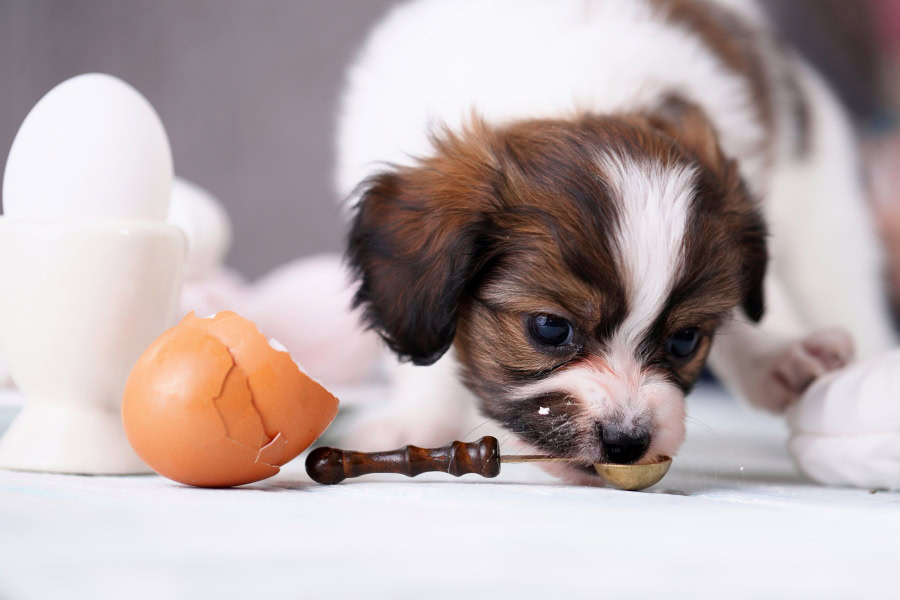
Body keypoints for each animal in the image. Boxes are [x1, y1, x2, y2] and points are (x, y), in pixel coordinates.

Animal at [334, 0, 896, 482]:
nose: (626, 441)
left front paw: (778, 352)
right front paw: (418, 419)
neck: (570, 94)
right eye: (549, 328)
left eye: (685, 340)